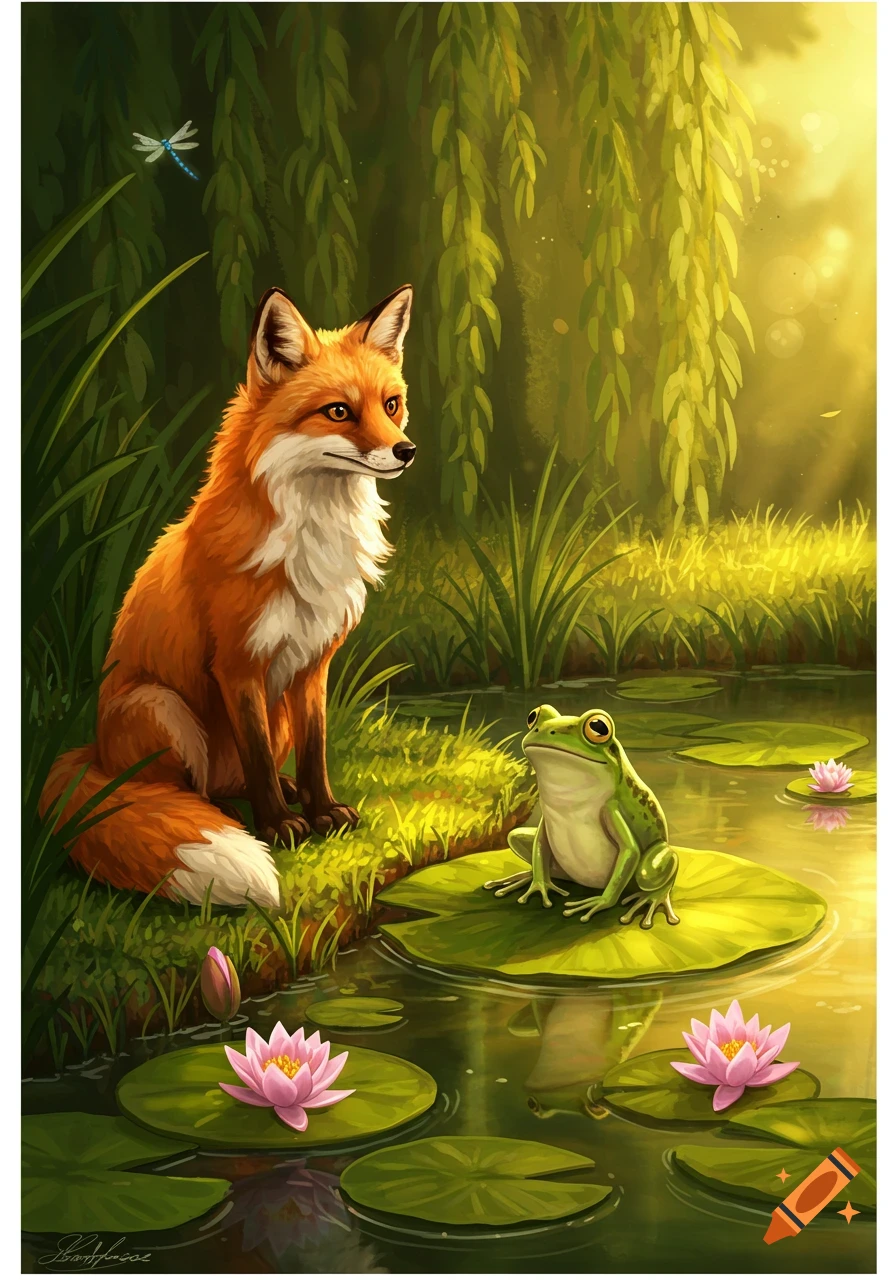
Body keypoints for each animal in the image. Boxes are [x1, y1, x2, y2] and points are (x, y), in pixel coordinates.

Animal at [40, 283, 416, 910]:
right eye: (339, 411)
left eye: (391, 405)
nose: (407, 451)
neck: (311, 536)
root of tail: (92, 753)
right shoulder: (238, 664)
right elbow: (258, 759)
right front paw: (279, 827)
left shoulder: (313, 663)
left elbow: (314, 752)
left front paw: (321, 810)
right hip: (163, 707)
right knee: (181, 791)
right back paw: (226, 814)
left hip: (272, 703)